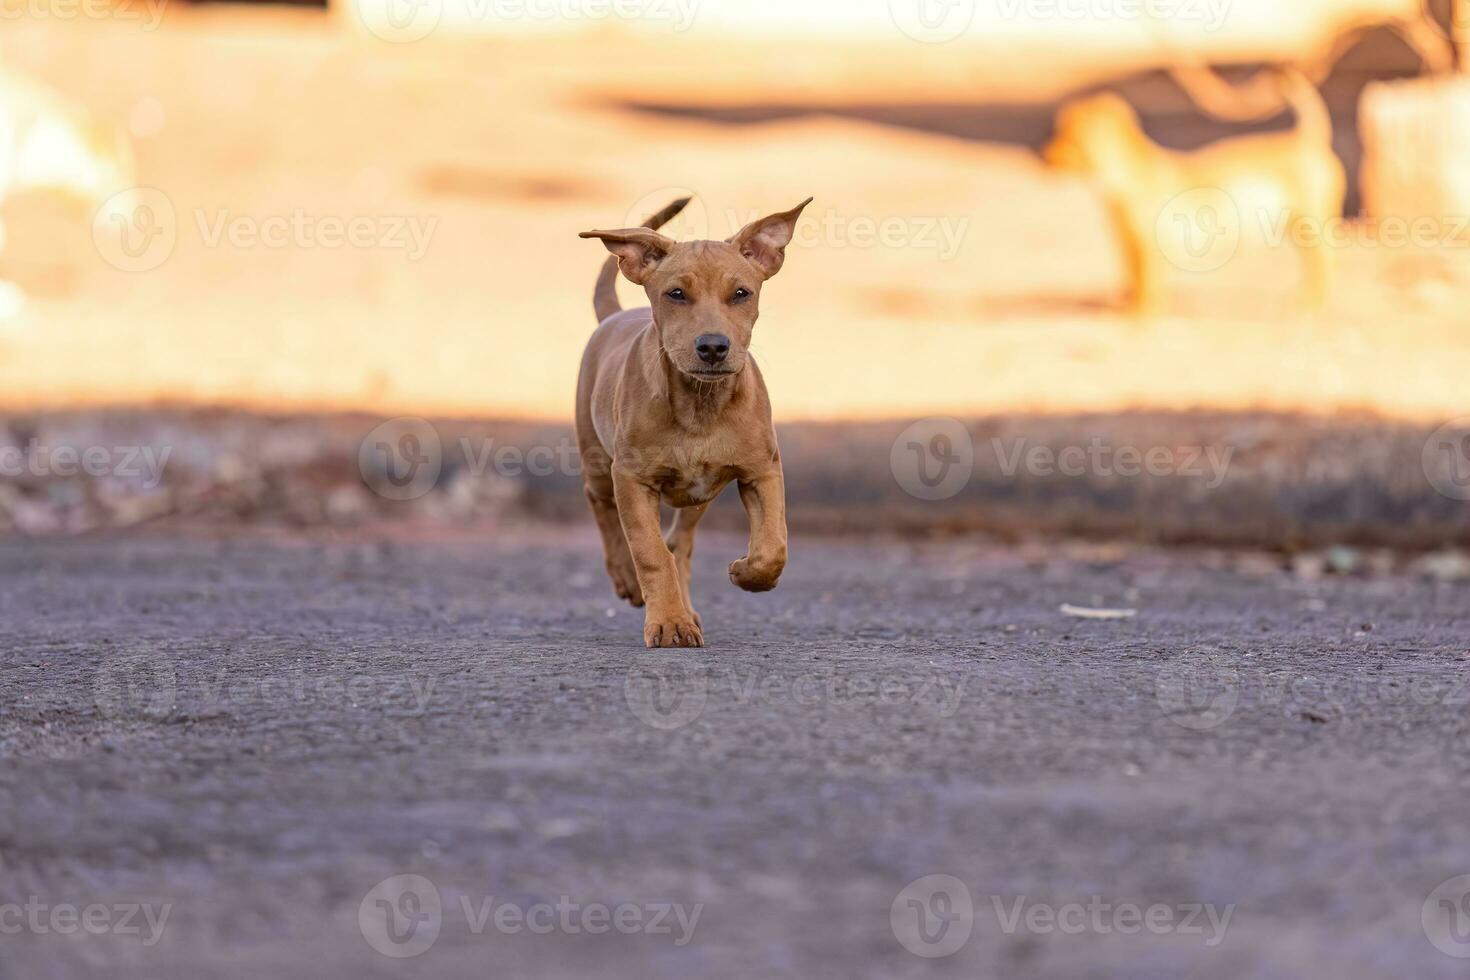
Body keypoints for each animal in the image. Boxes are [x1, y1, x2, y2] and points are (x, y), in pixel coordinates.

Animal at [576, 195, 811, 646]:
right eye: (677, 294)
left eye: (741, 294)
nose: (713, 347)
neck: (701, 404)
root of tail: (614, 316)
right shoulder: (632, 479)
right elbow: (649, 552)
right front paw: (668, 622)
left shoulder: (762, 471)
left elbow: (773, 546)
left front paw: (746, 572)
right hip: (597, 460)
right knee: (602, 506)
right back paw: (627, 578)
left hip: (699, 495)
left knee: (679, 543)